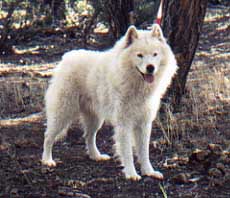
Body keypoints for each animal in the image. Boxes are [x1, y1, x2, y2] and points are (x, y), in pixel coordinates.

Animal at [41, 24, 178, 180]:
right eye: (139, 55)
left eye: (155, 54)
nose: (150, 68)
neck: (136, 85)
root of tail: (66, 58)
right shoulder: (124, 123)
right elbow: (127, 152)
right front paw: (131, 174)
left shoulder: (144, 123)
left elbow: (144, 152)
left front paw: (149, 171)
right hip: (63, 114)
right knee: (48, 136)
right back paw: (47, 160)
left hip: (95, 119)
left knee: (88, 136)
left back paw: (96, 156)